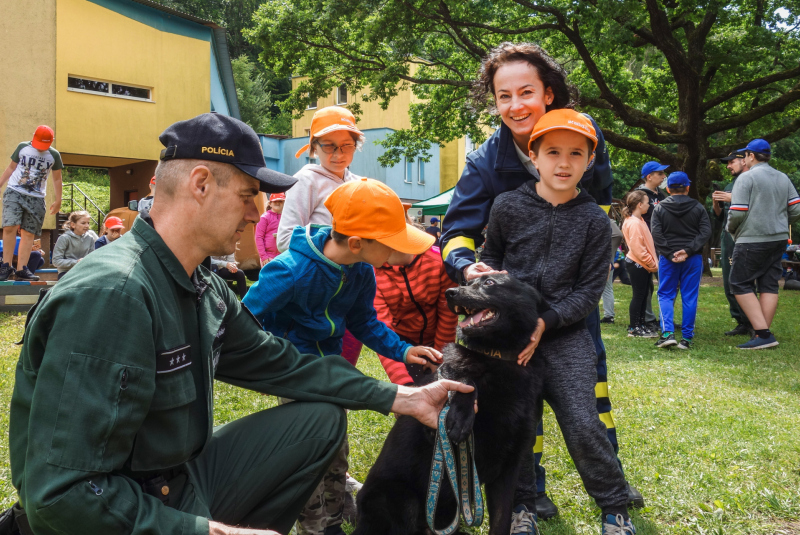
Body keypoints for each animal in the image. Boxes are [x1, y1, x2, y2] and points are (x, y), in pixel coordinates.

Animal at [354, 274, 548, 532]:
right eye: (467, 282)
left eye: (489, 283)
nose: (450, 293)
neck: (496, 358)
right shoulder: (434, 432)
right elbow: (464, 380)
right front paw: (460, 417)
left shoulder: (508, 470)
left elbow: (501, 520)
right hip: (403, 499)